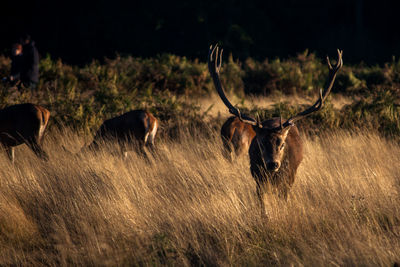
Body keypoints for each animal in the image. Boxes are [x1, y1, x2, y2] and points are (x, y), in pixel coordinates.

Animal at [208, 46, 342, 206]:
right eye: (261, 144)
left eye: (282, 144)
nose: (273, 164)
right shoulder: (258, 179)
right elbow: (262, 205)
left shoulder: (287, 179)